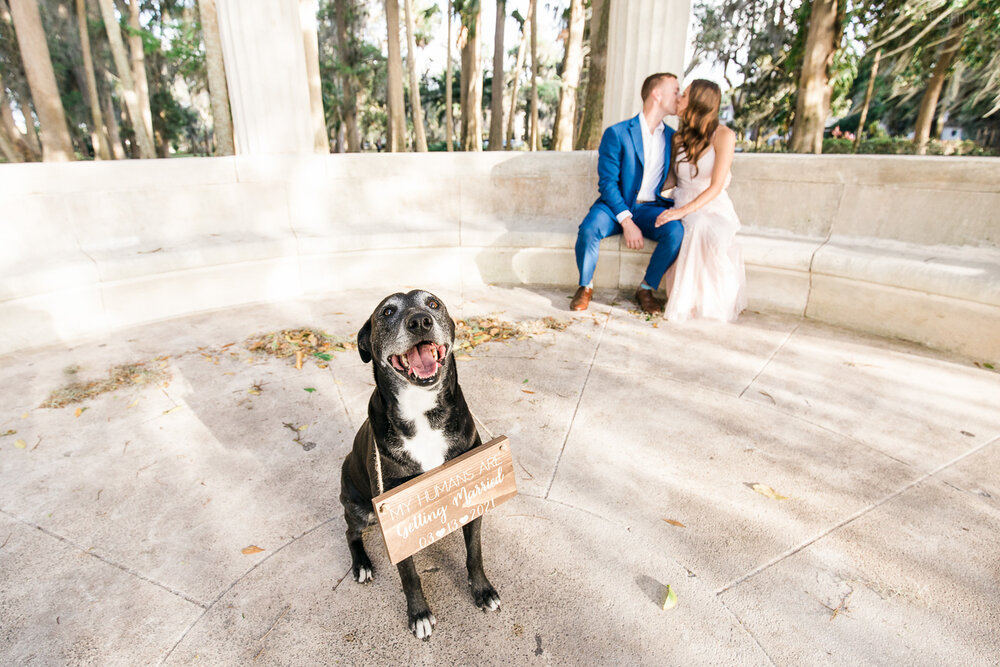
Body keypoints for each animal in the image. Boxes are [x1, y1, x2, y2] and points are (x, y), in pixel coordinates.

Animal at [342, 290, 500, 640]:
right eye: (387, 312)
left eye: (433, 304)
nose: (419, 321)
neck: (422, 411)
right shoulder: (395, 516)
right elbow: (409, 574)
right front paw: (419, 614)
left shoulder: (470, 491)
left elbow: (475, 554)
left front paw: (482, 590)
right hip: (359, 508)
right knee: (350, 532)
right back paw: (361, 564)